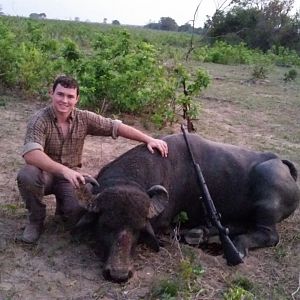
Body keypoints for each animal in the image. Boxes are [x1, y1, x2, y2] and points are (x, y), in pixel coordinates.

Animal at [73, 132, 300, 282]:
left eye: (138, 230)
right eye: (105, 225)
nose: (118, 274)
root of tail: (281, 164)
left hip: (266, 204)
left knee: (269, 235)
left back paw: (234, 246)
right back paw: (201, 234)